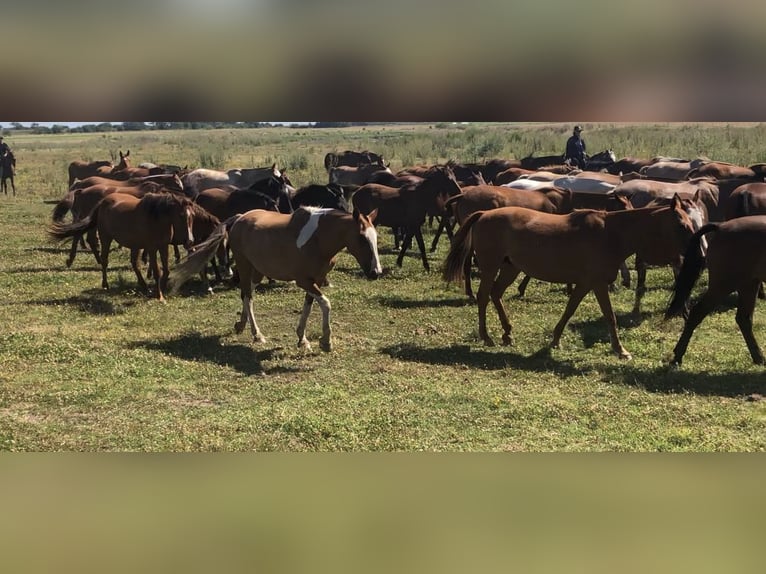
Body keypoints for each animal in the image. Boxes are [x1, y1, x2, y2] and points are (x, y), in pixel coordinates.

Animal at [47, 192, 195, 302]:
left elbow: (166, 270)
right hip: (106, 238)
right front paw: (159, 296)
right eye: (181, 215)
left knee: (135, 264)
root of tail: (103, 202)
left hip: (135, 245)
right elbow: (157, 271)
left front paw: (160, 290)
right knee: (105, 260)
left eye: (192, 215)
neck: (155, 217)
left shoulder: (163, 247)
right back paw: (105, 285)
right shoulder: (152, 248)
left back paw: (144, 287)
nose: (189, 241)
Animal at [170, 207, 382, 352]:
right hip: (245, 266)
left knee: (245, 294)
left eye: (375, 237)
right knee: (248, 296)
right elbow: (326, 303)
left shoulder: (316, 279)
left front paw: (302, 339)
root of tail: (240, 218)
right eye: (362, 237)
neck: (319, 239)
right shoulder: (304, 281)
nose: (376, 272)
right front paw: (326, 341)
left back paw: (241, 325)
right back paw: (257, 334)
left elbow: (309, 306)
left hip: (257, 272)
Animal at [440, 198, 700, 360]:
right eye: (682, 224)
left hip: (510, 268)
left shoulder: (585, 284)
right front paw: (621, 350)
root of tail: (484, 214)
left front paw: (555, 340)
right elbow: (610, 317)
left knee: (495, 294)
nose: (699, 251)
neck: (610, 233)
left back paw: (507, 333)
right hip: (491, 267)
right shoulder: (597, 284)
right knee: (484, 296)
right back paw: (487, 337)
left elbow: (569, 310)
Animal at [664, 216, 766, 364]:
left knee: (744, 319)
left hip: (749, 284)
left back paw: (758, 357)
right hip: (724, 285)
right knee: (697, 313)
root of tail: (720, 227)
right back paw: (678, 355)